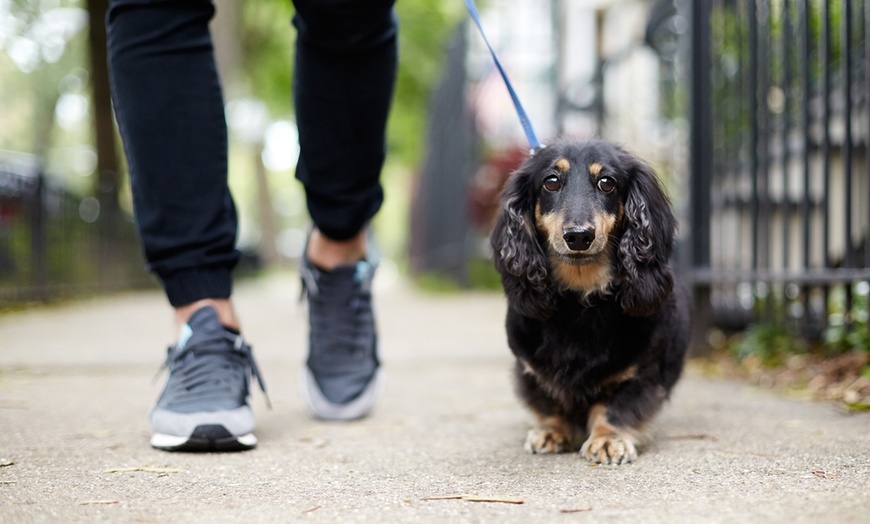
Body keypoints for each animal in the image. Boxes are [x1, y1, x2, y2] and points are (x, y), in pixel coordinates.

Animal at [490, 137, 688, 464]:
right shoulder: (530, 370)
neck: (581, 295)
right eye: (551, 181)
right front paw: (551, 431)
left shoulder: (641, 372)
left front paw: (609, 439)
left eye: (607, 182)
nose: (579, 236)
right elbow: (549, 403)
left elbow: (615, 409)